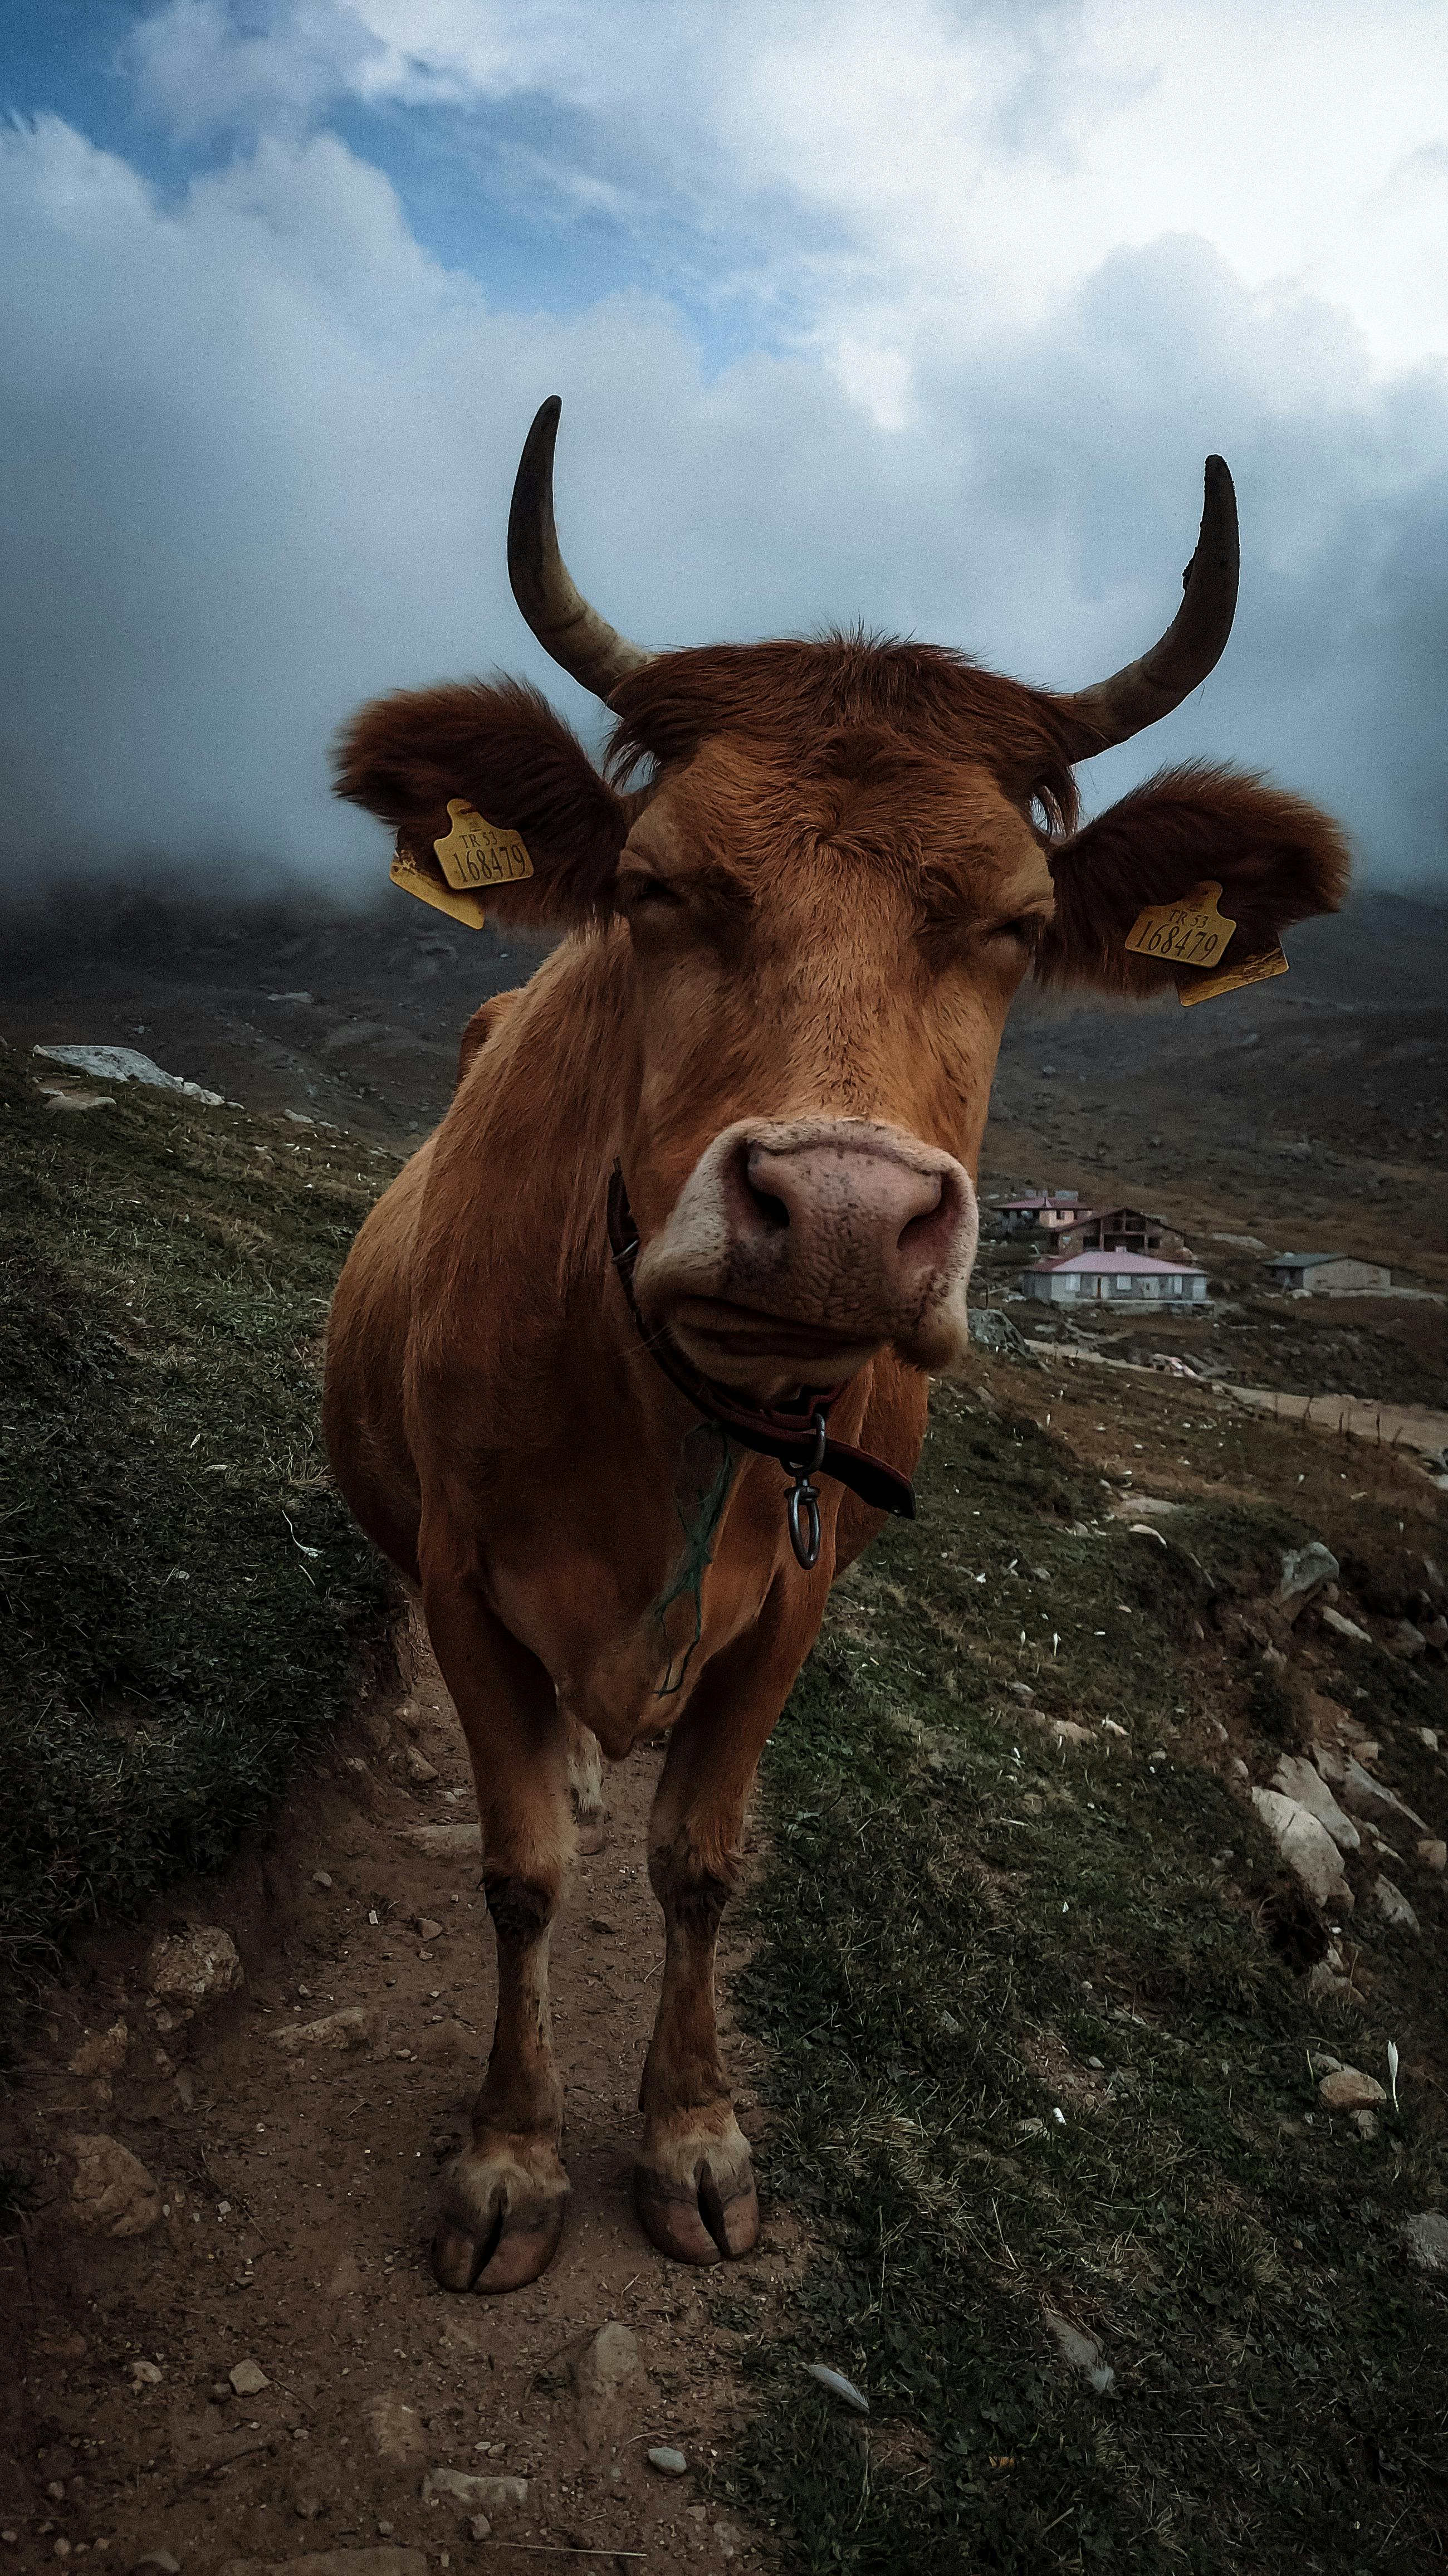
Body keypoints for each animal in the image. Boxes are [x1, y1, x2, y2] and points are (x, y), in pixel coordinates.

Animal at [324, 400, 1347, 2294]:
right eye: (651, 885)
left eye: (1017, 921)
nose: (846, 1215)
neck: (667, 1424)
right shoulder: (456, 1576)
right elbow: (520, 1868)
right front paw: (507, 2158)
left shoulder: (790, 1606)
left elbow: (700, 1865)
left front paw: (691, 2135)